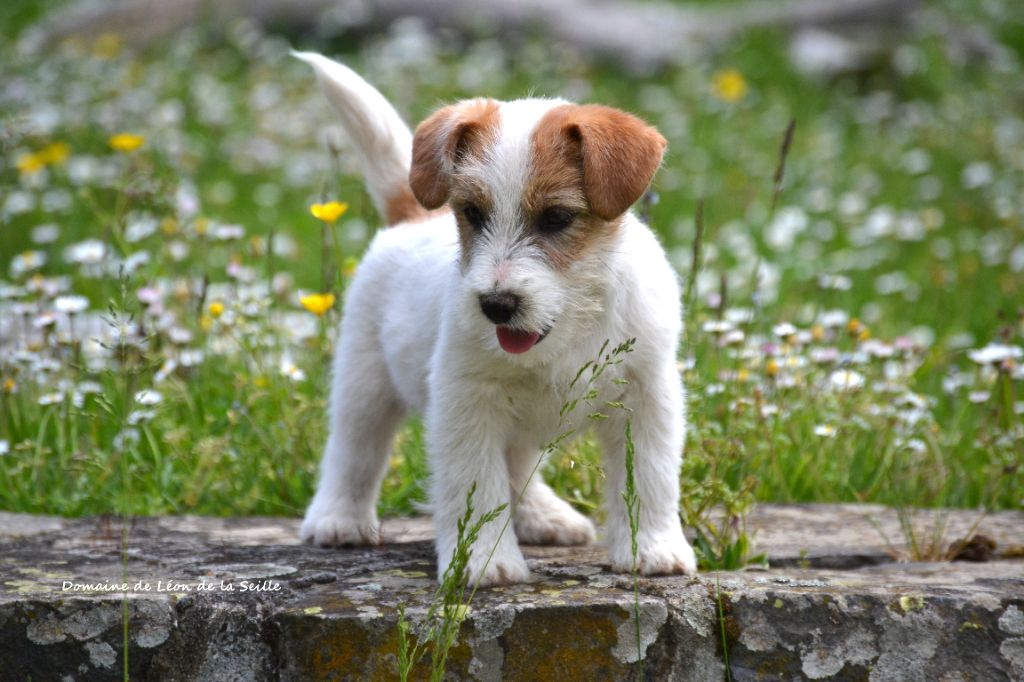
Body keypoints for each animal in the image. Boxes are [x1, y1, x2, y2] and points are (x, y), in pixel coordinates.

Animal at [294, 52, 696, 587]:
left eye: (556, 218)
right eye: (472, 213)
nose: (496, 305)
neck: (570, 328)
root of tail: (412, 216)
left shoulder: (647, 394)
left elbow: (650, 477)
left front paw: (652, 547)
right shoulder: (467, 401)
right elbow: (477, 484)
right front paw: (485, 560)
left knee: (518, 465)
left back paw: (544, 516)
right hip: (364, 384)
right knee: (354, 452)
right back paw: (338, 519)